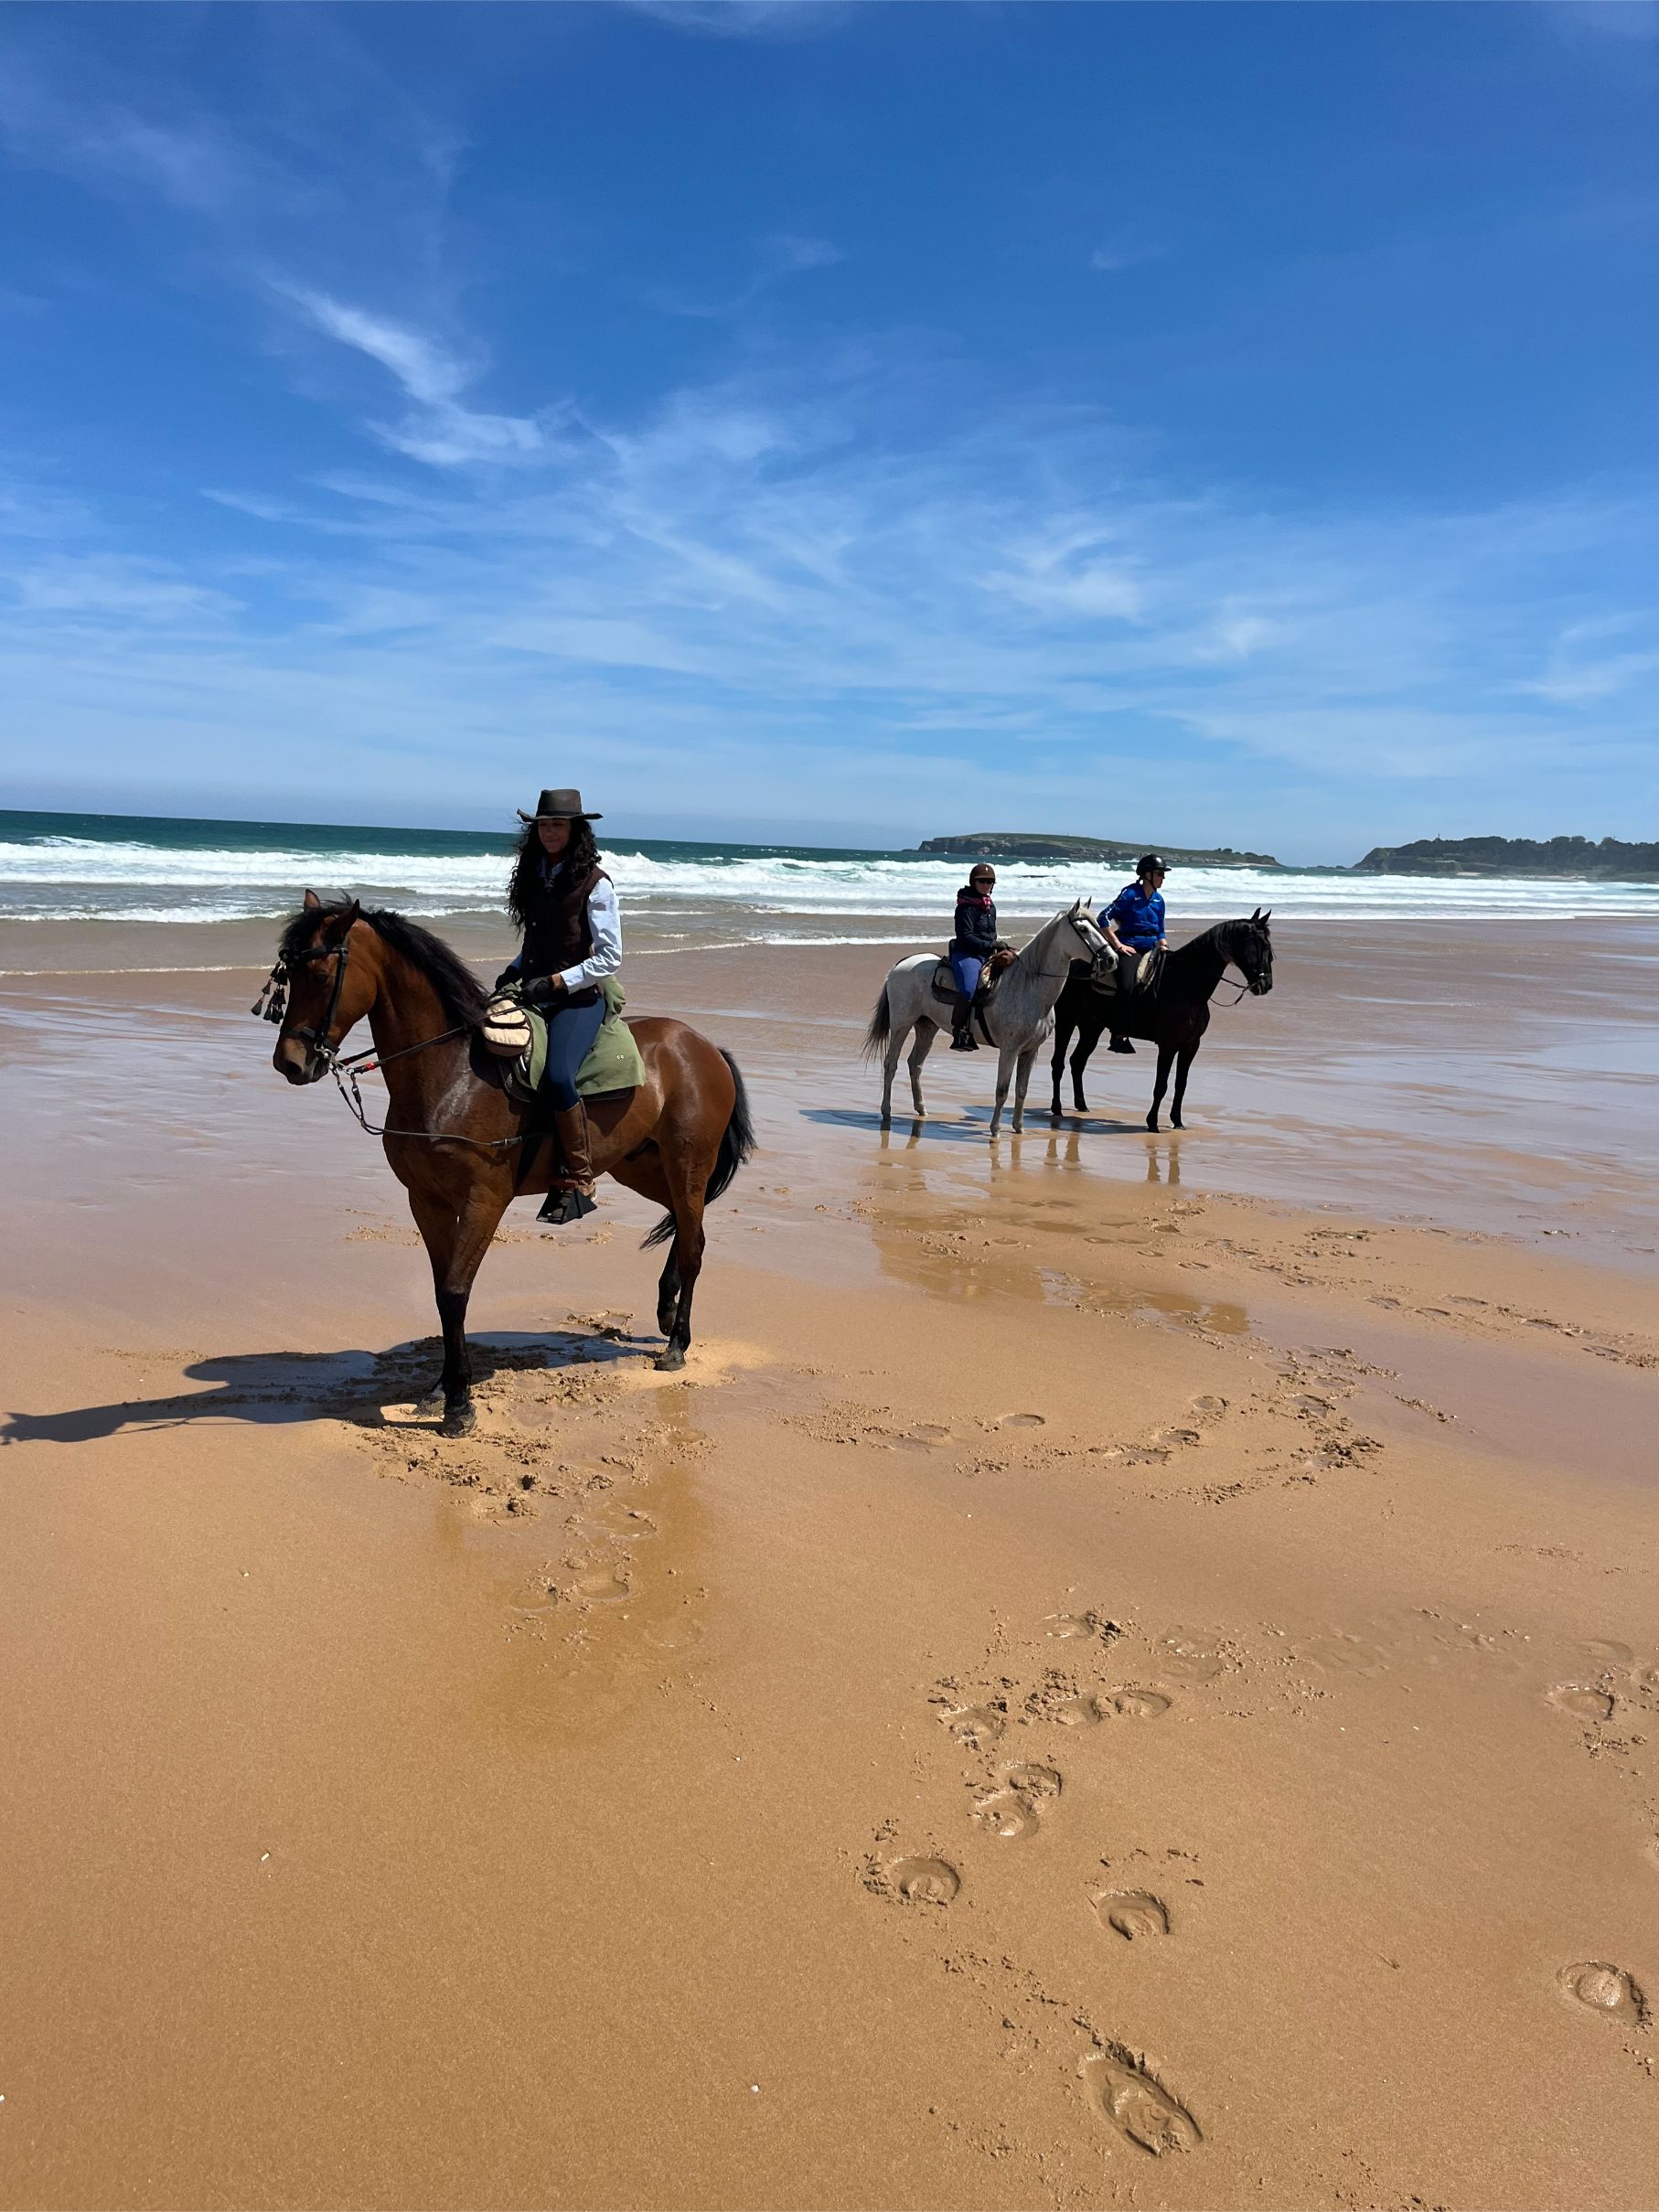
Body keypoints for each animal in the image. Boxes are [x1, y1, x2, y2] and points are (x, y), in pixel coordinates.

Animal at [264, 893, 752, 1433]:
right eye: (290, 976)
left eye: (322, 976)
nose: (289, 1062)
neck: (451, 1074)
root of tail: (703, 1046)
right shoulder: (427, 1201)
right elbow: (442, 1293)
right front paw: (442, 1389)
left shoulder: (484, 1200)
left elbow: (456, 1291)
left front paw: (459, 1404)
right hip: (639, 1164)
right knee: (684, 1228)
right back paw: (666, 1311)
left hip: (687, 1164)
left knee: (693, 1242)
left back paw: (677, 1344)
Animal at [862, 902, 1110, 1141]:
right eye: (1083, 929)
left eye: (1098, 927)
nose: (1111, 959)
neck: (1028, 985)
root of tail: (901, 964)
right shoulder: (1009, 1050)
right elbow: (1002, 1090)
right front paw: (996, 1130)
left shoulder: (1030, 1051)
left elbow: (1022, 1089)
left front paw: (1019, 1129)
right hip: (901, 1025)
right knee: (891, 1064)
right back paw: (886, 1111)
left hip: (926, 1027)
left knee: (915, 1064)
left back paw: (921, 1109)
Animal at [1053, 906, 1274, 1132]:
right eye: (1263, 946)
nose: (1266, 985)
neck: (1185, 985)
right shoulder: (1168, 1045)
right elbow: (1161, 1085)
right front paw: (1153, 1123)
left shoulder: (1191, 1045)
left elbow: (1181, 1085)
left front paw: (1178, 1121)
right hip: (1066, 1020)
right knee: (1058, 1063)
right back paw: (1057, 1108)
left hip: (1092, 1027)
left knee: (1077, 1061)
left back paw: (1082, 1105)